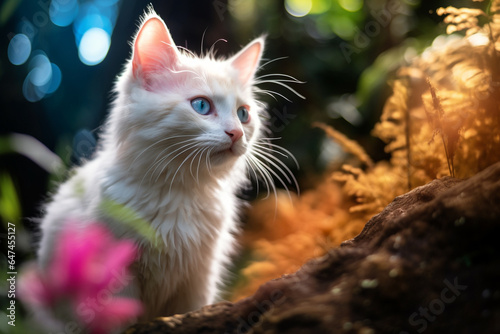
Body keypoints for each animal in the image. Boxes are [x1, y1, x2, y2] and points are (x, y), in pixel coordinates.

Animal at [37, 8, 298, 326]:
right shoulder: (116, 274)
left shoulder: (198, 278)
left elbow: (188, 313)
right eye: (201, 106)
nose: (237, 133)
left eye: (243, 114)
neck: (179, 190)